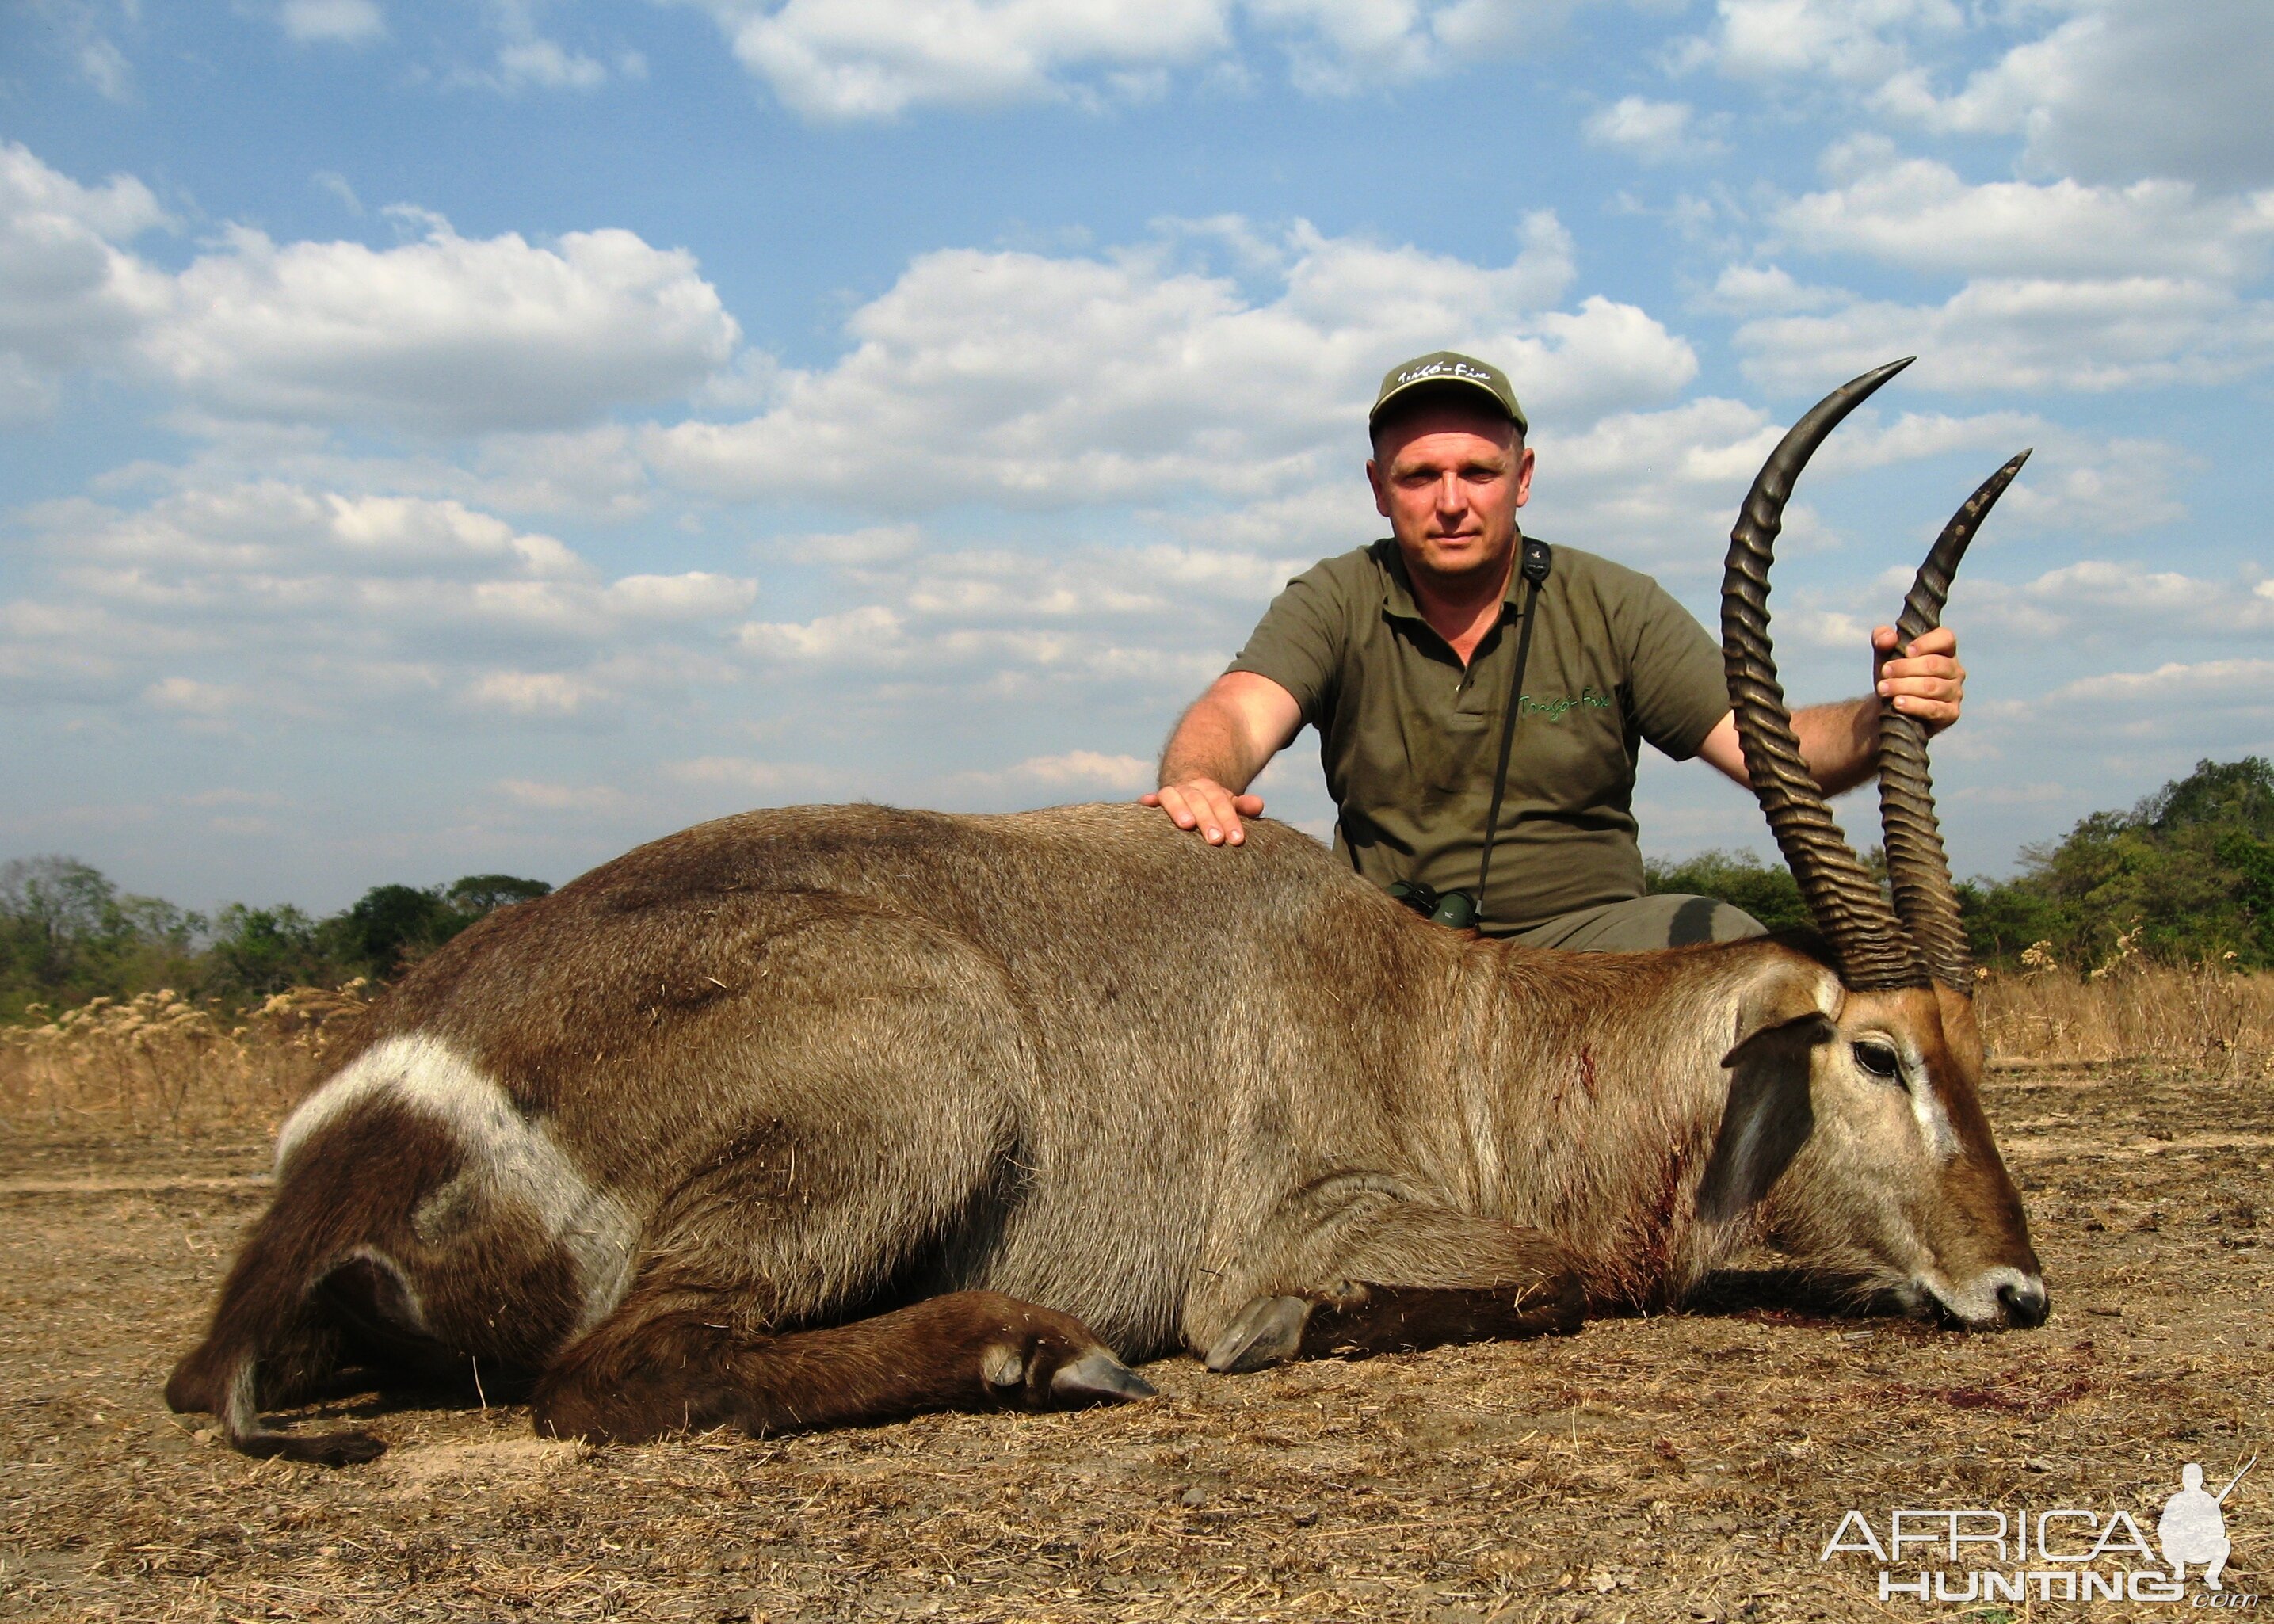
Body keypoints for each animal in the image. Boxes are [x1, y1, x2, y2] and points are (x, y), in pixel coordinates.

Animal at [165, 361, 2047, 1465]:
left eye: (1974, 1052)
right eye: (1875, 1053)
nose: (2018, 1292)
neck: (1470, 1029)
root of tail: (376, 1105)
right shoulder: (1315, 1216)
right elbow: (1535, 1279)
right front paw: (1297, 1332)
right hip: (923, 1071)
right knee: (627, 1372)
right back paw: (1040, 1353)